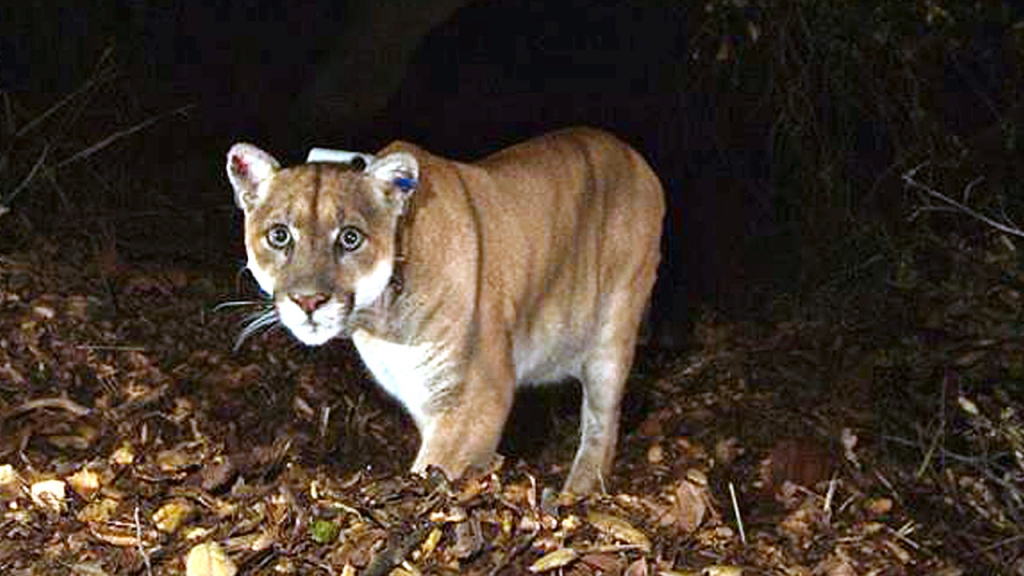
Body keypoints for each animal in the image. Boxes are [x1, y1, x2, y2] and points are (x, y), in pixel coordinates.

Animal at [226, 127, 663, 491]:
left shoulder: (476, 396)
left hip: (613, 333)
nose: (309, 301)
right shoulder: (424, 396)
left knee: (603, 423)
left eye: (350, 238)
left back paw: (580, 490)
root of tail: (634, 155)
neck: (381, 322)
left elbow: (434, 469)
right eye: (279, 235)